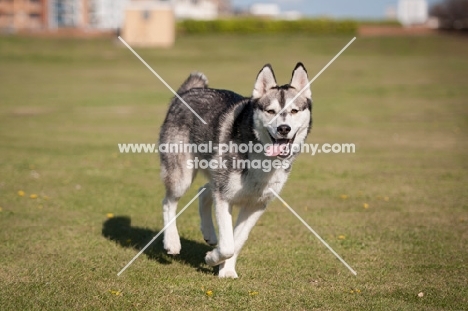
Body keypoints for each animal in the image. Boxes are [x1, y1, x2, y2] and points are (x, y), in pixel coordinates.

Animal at [159, 62, 312, 280]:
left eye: (294, 110)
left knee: (203, 191)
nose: (284, 128)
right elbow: (228, 245)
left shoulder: (257, 204)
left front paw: (226, 270)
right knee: (168, 202)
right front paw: (212, 258)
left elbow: (237, 241)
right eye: (271, 111)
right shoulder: (224, 197)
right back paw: (172, 242)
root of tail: (187, 92)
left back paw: (209, 234)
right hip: (182, 177)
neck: (262, 159)